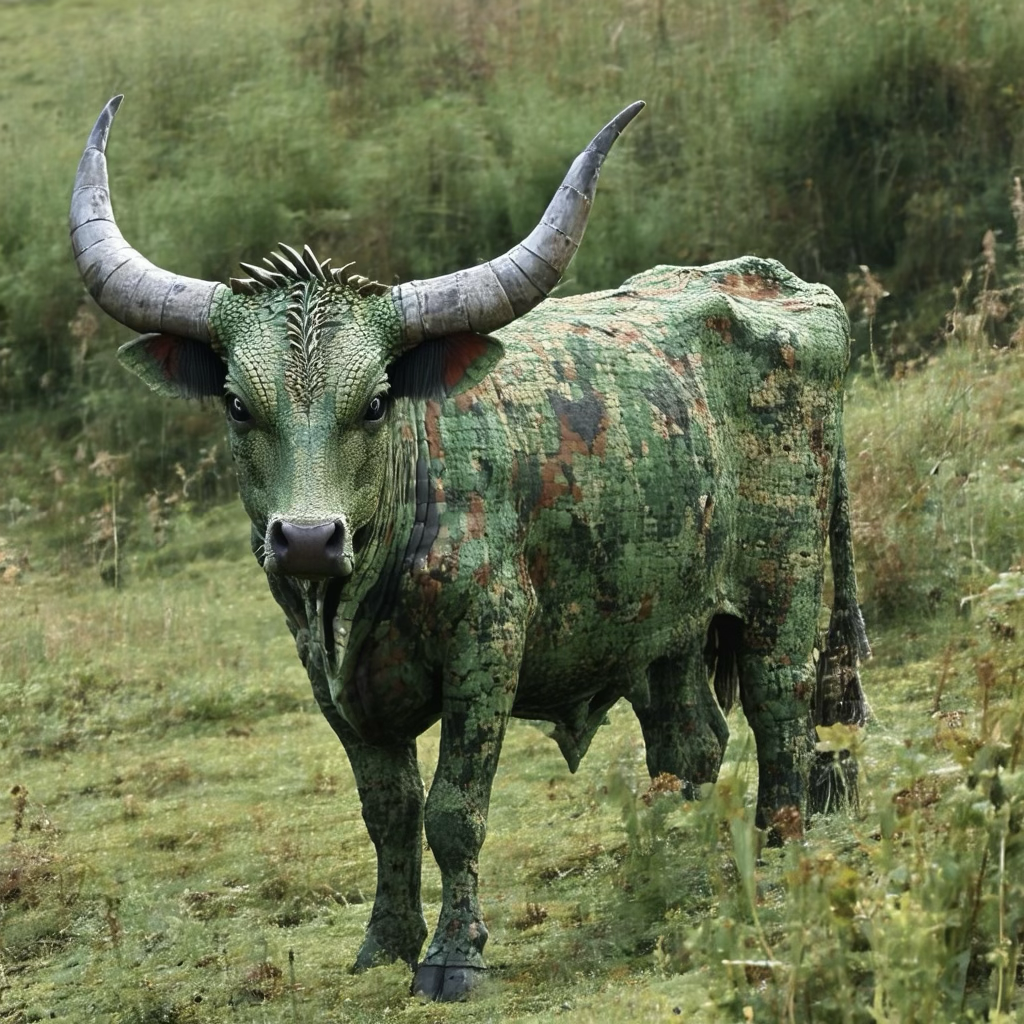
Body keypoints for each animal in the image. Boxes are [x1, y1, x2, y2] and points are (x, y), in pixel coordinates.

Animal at [70, 96, 869, 1001]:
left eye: (376, 401)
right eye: (239, 404)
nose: (306, 540)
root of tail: (792, 288)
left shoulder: (486, 649)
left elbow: (452, 810)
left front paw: (453, 956)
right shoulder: (326, 678)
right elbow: (387, 812)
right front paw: (385, 942)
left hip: (783, 591)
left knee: (783, 715)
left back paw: (777, 849)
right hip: (661, 625)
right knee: (691, 743)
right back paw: (674, 867)